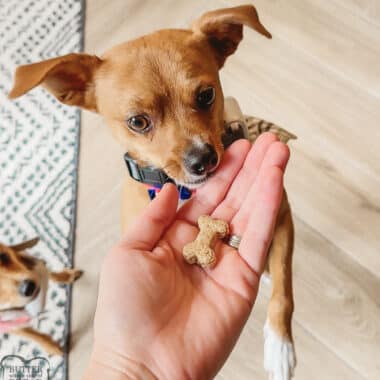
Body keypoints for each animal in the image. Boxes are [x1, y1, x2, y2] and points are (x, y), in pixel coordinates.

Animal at [7, 3, 296, 380]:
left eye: (206, 95)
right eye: (137, 122)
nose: (202, 159)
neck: (182, 190)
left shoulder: (283, 217)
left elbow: (283, 287)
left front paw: (280, 346)